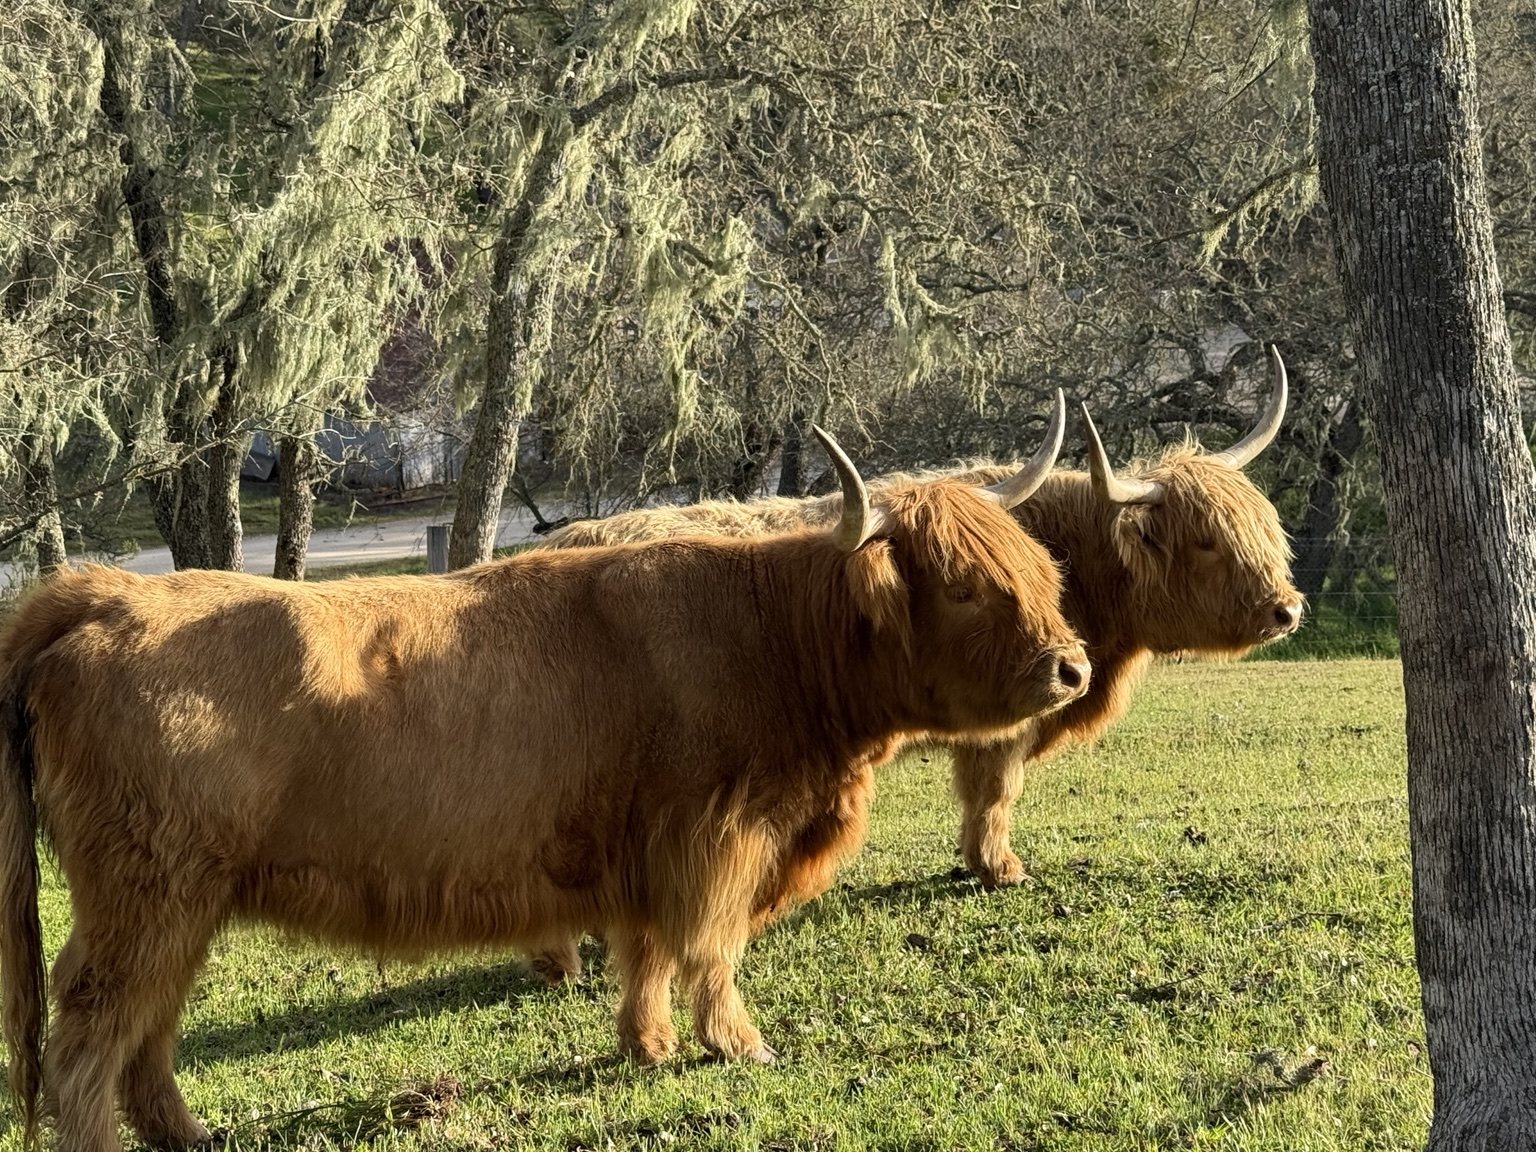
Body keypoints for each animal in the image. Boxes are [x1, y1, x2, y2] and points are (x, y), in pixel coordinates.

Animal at [0, 424, 1089, 1152]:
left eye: (1034, 567)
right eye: (962, 584)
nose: (1070, 668)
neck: (766, 636)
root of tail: (107, 592)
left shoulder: (646, 849)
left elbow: (649, 953)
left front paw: (648, 1045)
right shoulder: (717, 840)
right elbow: (711, 950)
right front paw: (737, 1044)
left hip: (183, 902)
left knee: (147, 1027)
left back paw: (184, 1135)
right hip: (146, 896)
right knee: (90, 1034)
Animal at [538, 347, 1302, 898]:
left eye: (1262, 525)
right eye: (1206, 540)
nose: (1287, 609)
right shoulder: (1007, 719)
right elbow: (994, 791)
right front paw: (1000, 869)